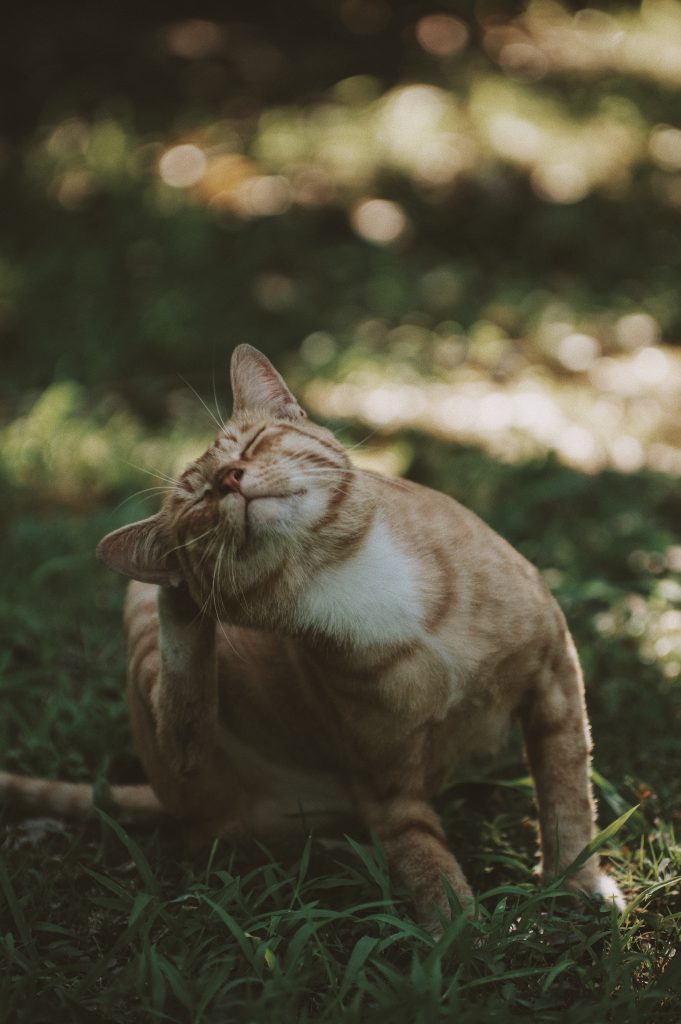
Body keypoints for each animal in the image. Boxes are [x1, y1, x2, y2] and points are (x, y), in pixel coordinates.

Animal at [0, 346, 622, 929]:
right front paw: (459, 933)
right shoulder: (387, 785)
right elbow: (423, 857)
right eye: (198, 503)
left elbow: (567, 794)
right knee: (186, 731)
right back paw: (183, 599)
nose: (228, 479)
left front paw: (575, 884)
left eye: (252, 443)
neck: (342, 573)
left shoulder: (554, 674)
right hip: (165, 696)